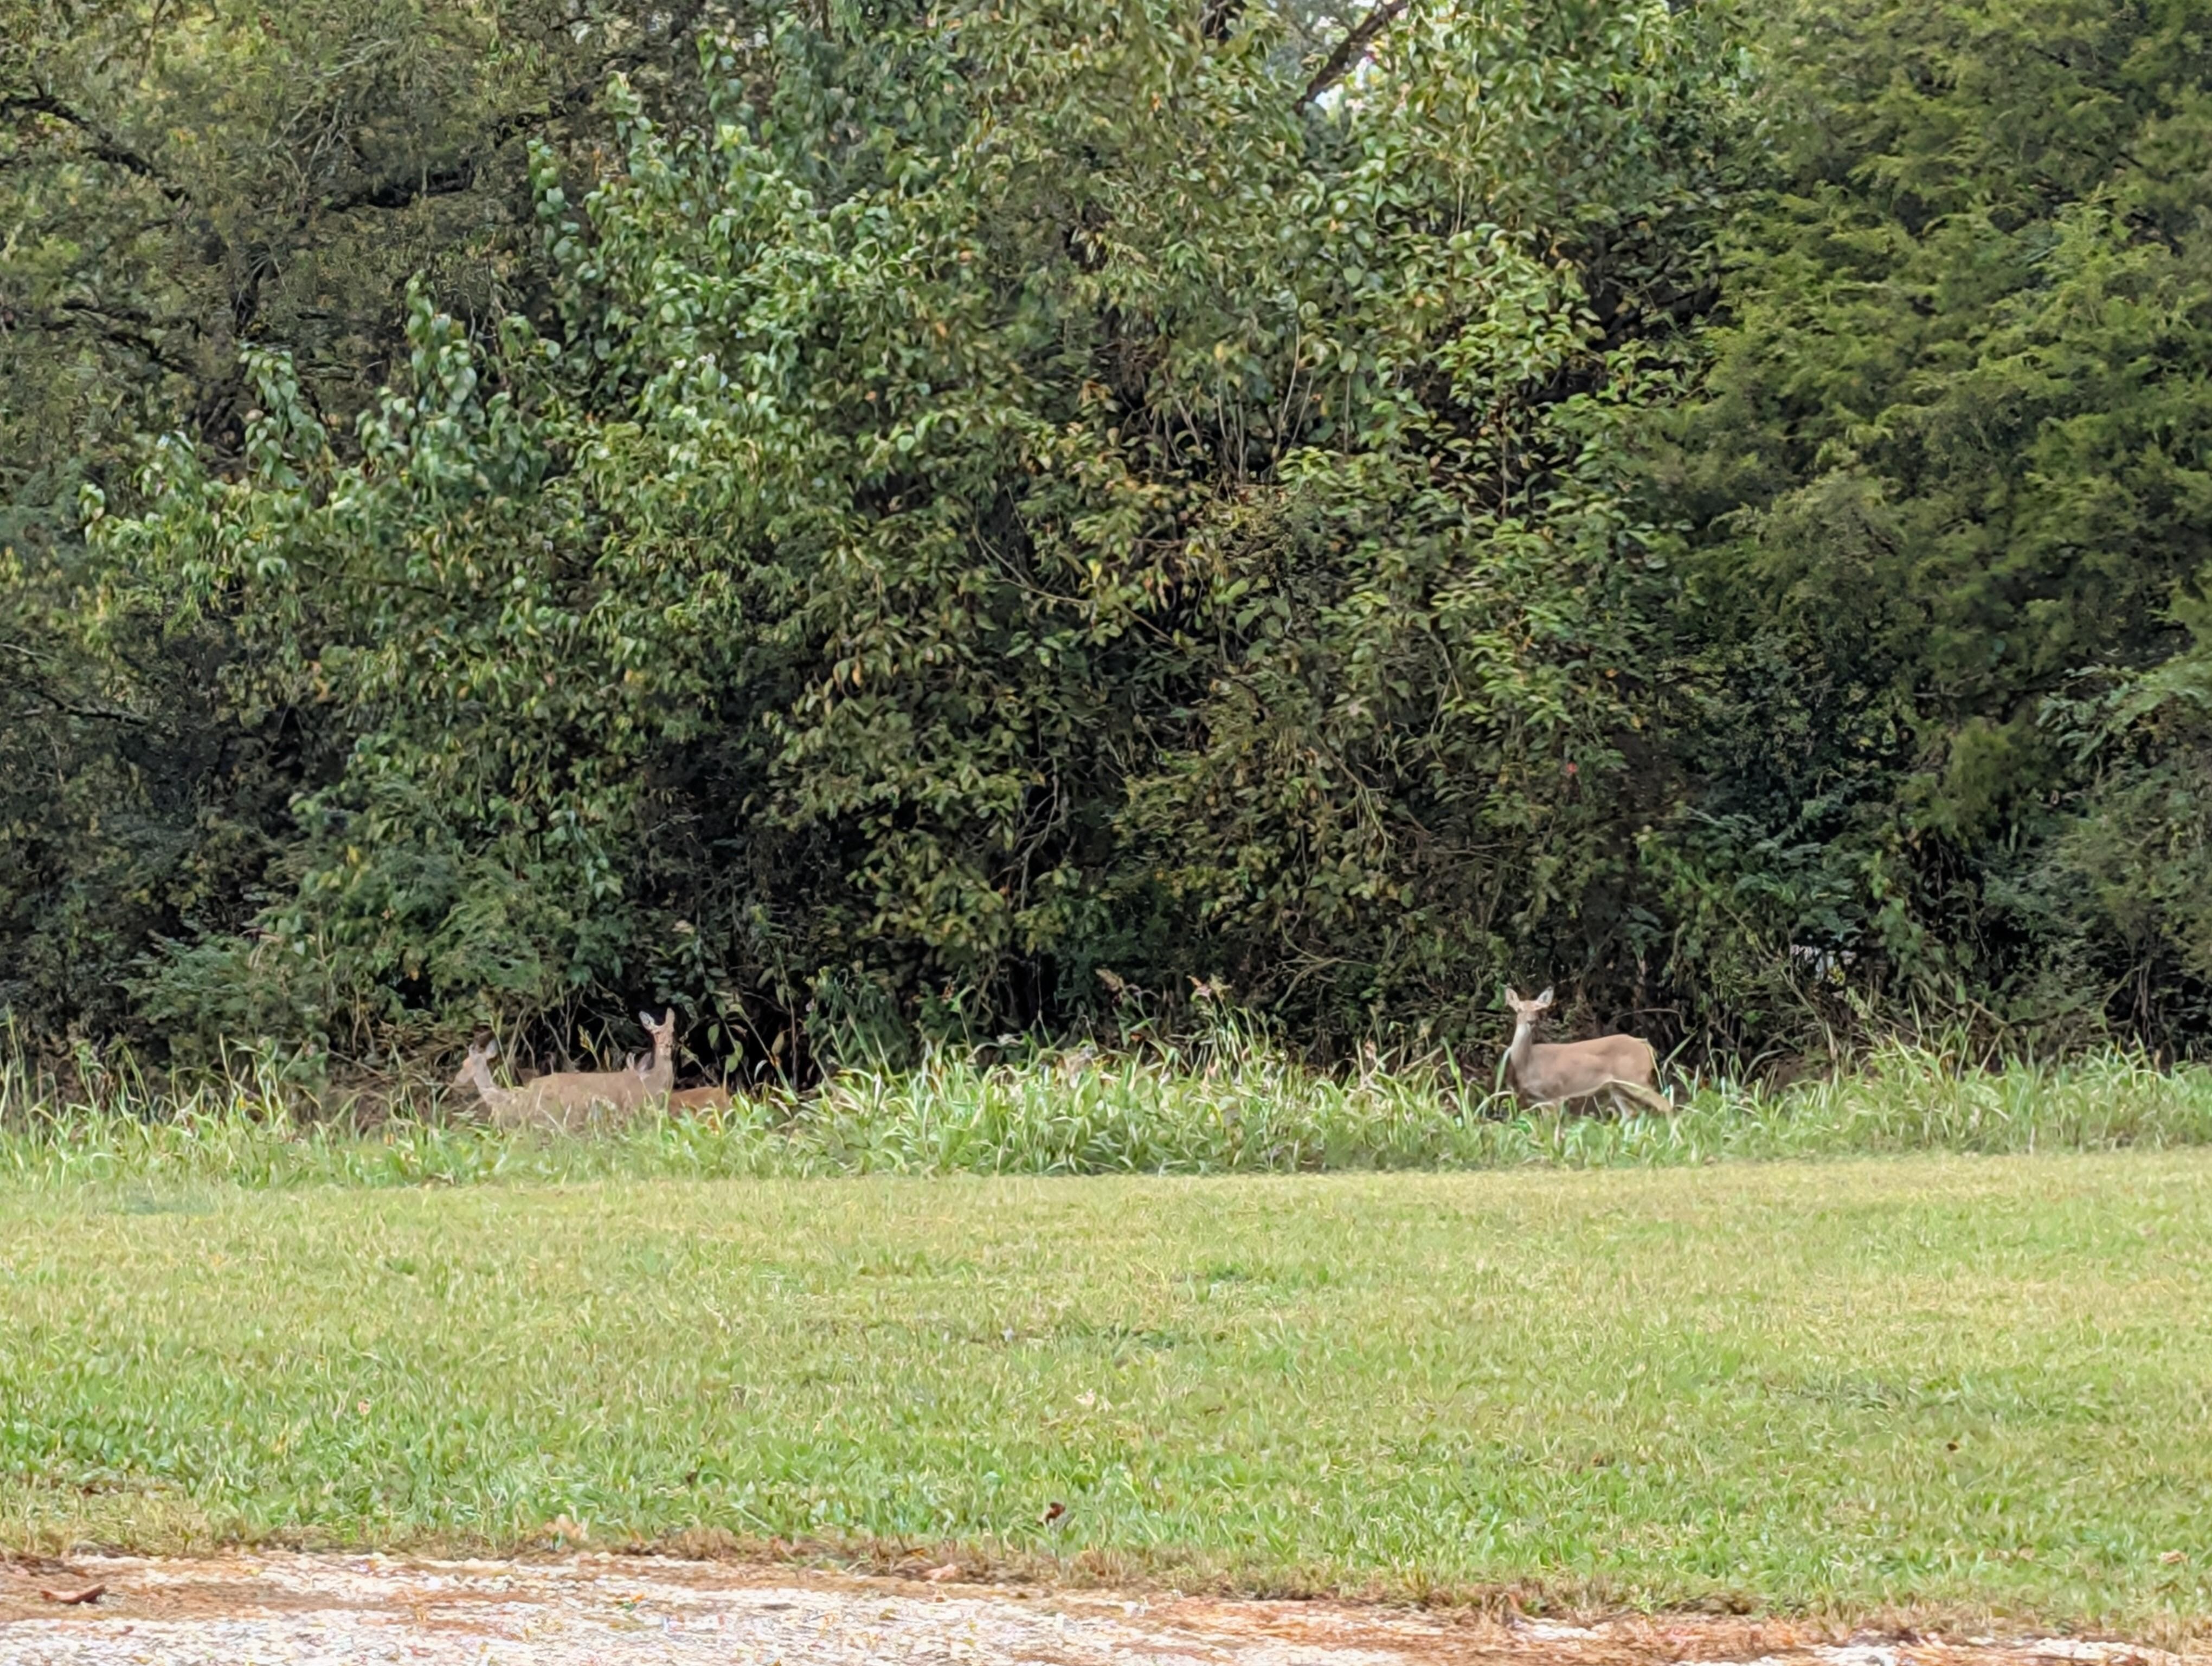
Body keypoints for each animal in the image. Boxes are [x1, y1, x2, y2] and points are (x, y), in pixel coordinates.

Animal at [1500, 986, 1672, 1116]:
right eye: (1519, 1010)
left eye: (1538, 1010)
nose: (1531, 1022)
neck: (1529, 1062)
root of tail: (1644, 1044)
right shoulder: (1540, 1101)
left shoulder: (1555, 1094)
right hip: (1617, 1086)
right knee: (1630, 1113)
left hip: (1635, 1077)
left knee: (1664, 1104)